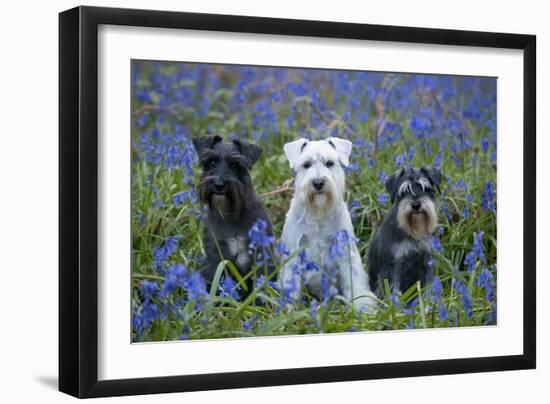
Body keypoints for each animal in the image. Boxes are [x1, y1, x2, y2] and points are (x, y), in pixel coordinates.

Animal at [193, 134, 274, 282]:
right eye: (211, 162)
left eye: (235, 164)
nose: (218, 184)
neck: (231, 214)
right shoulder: (215, 258)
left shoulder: (260, 256)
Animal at [280, 137, 380, 312]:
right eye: (306, 164)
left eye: (330, 163)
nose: (318, 182)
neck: (319, 213)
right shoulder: (294, 256)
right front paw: (290, 311)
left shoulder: (347, 253)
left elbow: (355, 283)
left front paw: (363, 308)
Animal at [368, 166, 446, 296]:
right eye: (404, 191)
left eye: (426, 188)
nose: (416, 205)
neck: (414, 232)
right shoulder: (395, 265)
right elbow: (394, 290)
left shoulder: (427, 260)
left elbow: (429, 287)